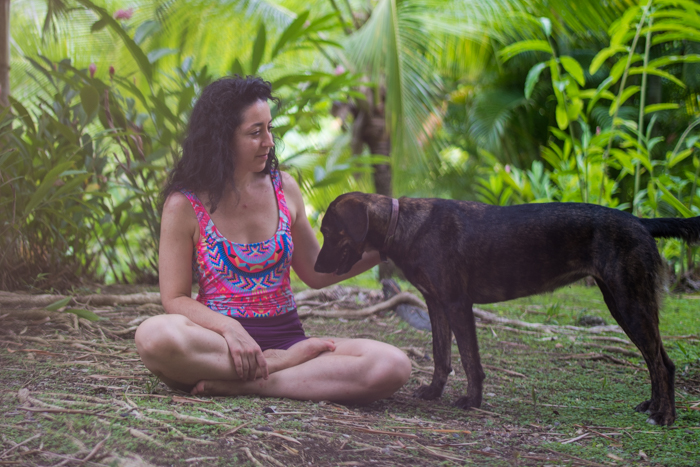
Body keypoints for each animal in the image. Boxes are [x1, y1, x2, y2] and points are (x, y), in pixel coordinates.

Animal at [314, 192, 700, 426]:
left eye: (330, 231)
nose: (315, 267)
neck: (403, 226)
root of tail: (641, 221)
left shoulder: (457, 303)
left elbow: (469, 360)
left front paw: (472, 400)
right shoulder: (435, 303)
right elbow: (441, 355)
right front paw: (434, 393)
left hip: (629, 302)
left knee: (662, 363)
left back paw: (664, 416)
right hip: (624, 302)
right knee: (657, 359)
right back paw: (652, 406)